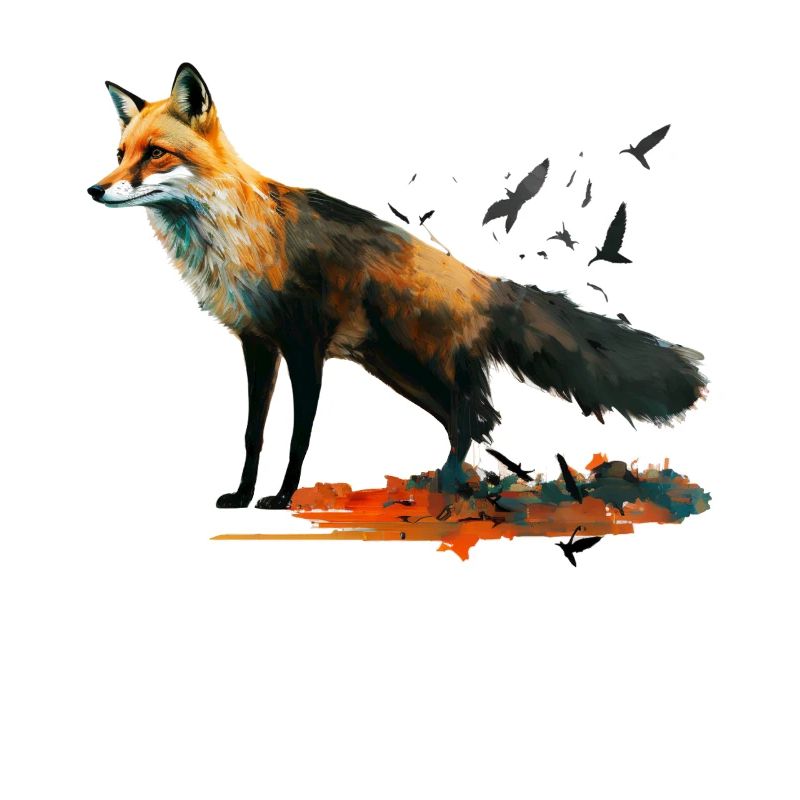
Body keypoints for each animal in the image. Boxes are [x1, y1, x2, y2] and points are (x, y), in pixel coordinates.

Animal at [88, 63, 706, 509]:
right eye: (120, 154)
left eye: (156, 154)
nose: (95, 190)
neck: (242, 238)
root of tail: (481, 280)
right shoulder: (258, 345)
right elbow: (252, 434)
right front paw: (241, 496)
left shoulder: (304, 347)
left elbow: (298, 436)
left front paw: (281, 498)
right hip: (397, 369)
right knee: (471, 420)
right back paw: (454, 485)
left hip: (419, 365)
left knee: (473, 418)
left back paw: (450, 488)